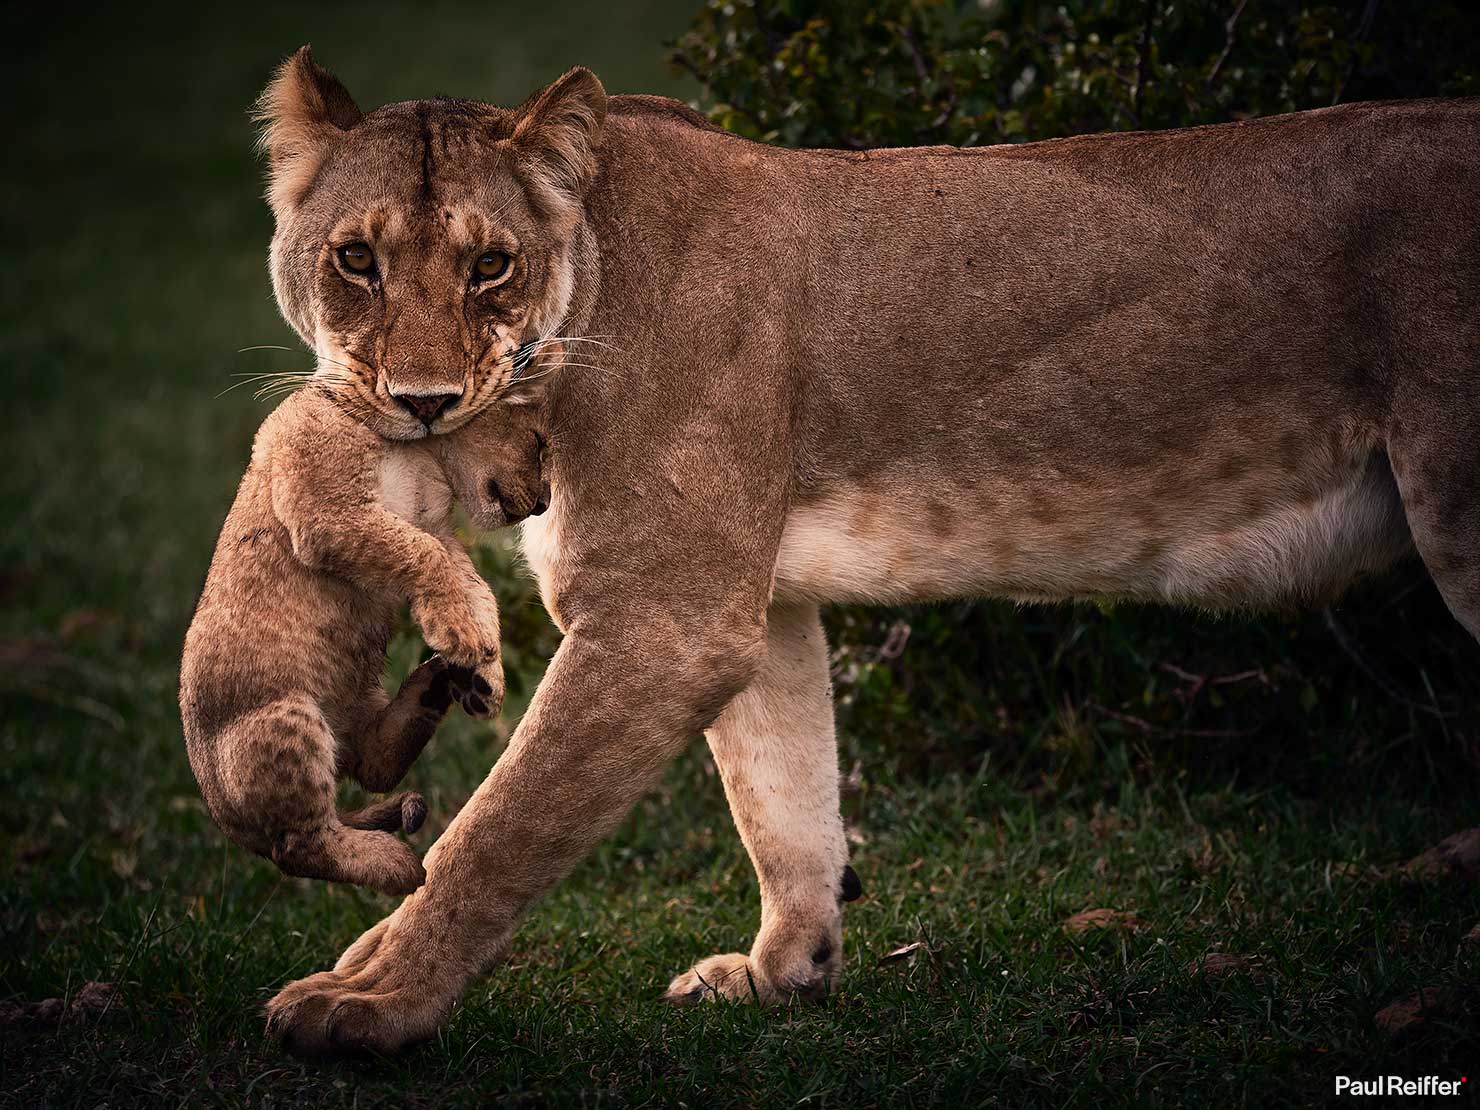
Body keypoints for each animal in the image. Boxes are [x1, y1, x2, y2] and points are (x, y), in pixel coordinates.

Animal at [180, 383, 549, 895]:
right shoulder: (328, 512)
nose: (545, 503)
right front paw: (465, 638)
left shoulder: (434, 523)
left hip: (359, 697)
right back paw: (396, 865)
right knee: (300, 846)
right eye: (539, 442)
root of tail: (226, 821)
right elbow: (424, 555)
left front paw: (485, 673)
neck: (421, 452)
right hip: (283, 719)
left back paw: (440, 684)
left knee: (373, 768)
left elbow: (475, 587)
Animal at [248, 47, 1479, 1055]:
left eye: (490, 266)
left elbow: (498, 829)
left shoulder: (665, 618)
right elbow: (785, 803)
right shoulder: (751, 608)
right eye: (355, 259)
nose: (421, 401)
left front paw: (369, 1000)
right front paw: (783, 971)